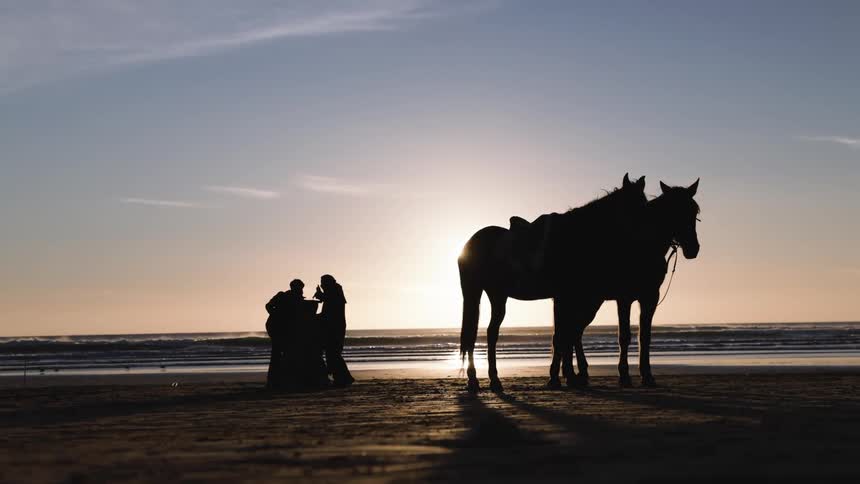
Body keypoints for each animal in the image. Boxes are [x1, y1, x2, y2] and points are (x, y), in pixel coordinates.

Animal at [457, 174, 648, 393]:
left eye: (644, 203)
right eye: (634, 205)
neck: (575, 237)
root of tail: (469, 244)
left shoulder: (566, 298)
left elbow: (565, 334)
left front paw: (565, 376)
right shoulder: (563, 296)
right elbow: (563, 335)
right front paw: (562, 377)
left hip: (497, 296)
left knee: (490, 333)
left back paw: (491, 379)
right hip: (476, 293)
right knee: (474, 334)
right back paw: (476, 379)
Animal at [550, 179, 701, 388]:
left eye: (694, 211)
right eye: (673, 211)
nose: (693, 248)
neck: (643, 244)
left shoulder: (650, 297)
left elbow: (645, 336)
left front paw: (647, 375)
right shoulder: (624, 298)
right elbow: (624, 336)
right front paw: (624, 375)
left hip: (589, 303)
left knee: (573, 333)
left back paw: (577, 373)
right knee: (568, 333)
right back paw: (568, 375)